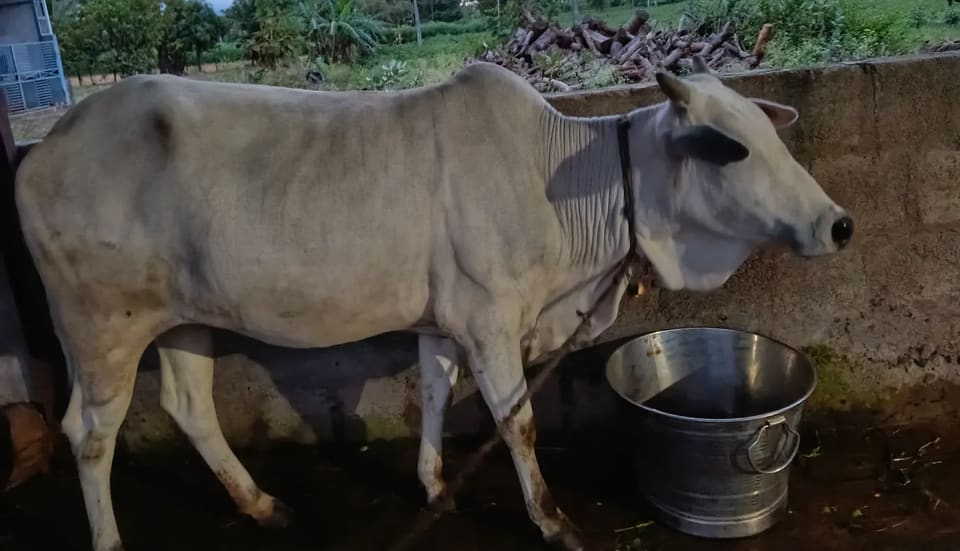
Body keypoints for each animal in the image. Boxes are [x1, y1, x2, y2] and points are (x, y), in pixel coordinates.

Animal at [13, 59, 853, 551]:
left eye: (770, 137)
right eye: (731, 149)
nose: (838, 223)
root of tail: (44, 148)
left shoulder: (445, 320)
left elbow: (435, 397)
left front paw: (435, 484)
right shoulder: (490, 318)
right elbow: (516, 420)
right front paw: (552, 520)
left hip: (182, 318)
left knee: (190, 407)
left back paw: (261, 504)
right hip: (101, 324)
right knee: (89, 433)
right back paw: (112, 539)